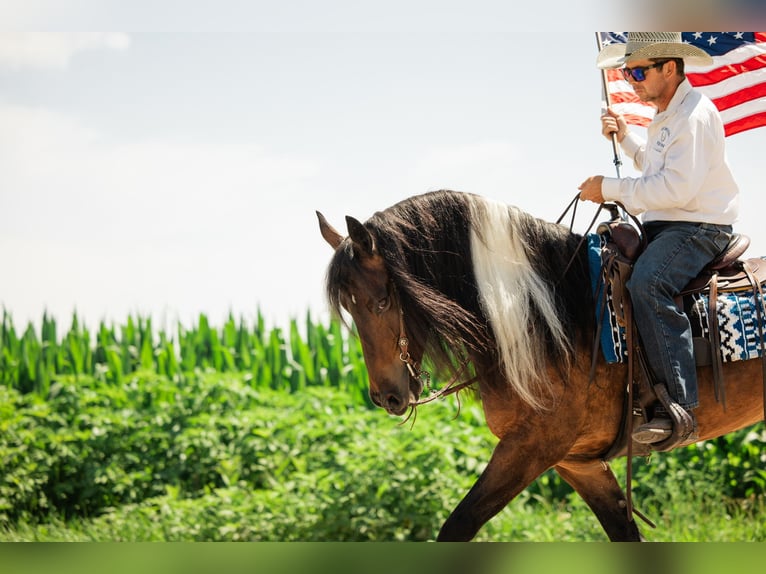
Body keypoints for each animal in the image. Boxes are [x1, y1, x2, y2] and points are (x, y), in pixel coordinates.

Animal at [316, 189, 765, 541]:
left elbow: (458, 526)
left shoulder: (531, 447)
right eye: (349, 309)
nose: (386, 397)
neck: (547, 319)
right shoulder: (578, 462)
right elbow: (624, 532)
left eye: (382, 301)